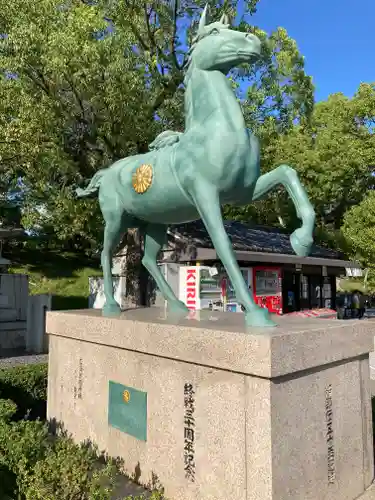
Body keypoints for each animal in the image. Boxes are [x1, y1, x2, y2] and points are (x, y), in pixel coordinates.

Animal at [77, 4, 318, 328]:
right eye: (214, 31)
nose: (254, 42)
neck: (218, 130)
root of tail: (106, 174)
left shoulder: (242, 193)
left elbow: (287, 172)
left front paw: (300, 242)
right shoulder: (206, 195)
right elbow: (225, 246)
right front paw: (257, 314)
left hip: (156, 222)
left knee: (148, 259)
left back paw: (179, 308)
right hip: (116, 218)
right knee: (105, 255)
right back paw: (113, 308)